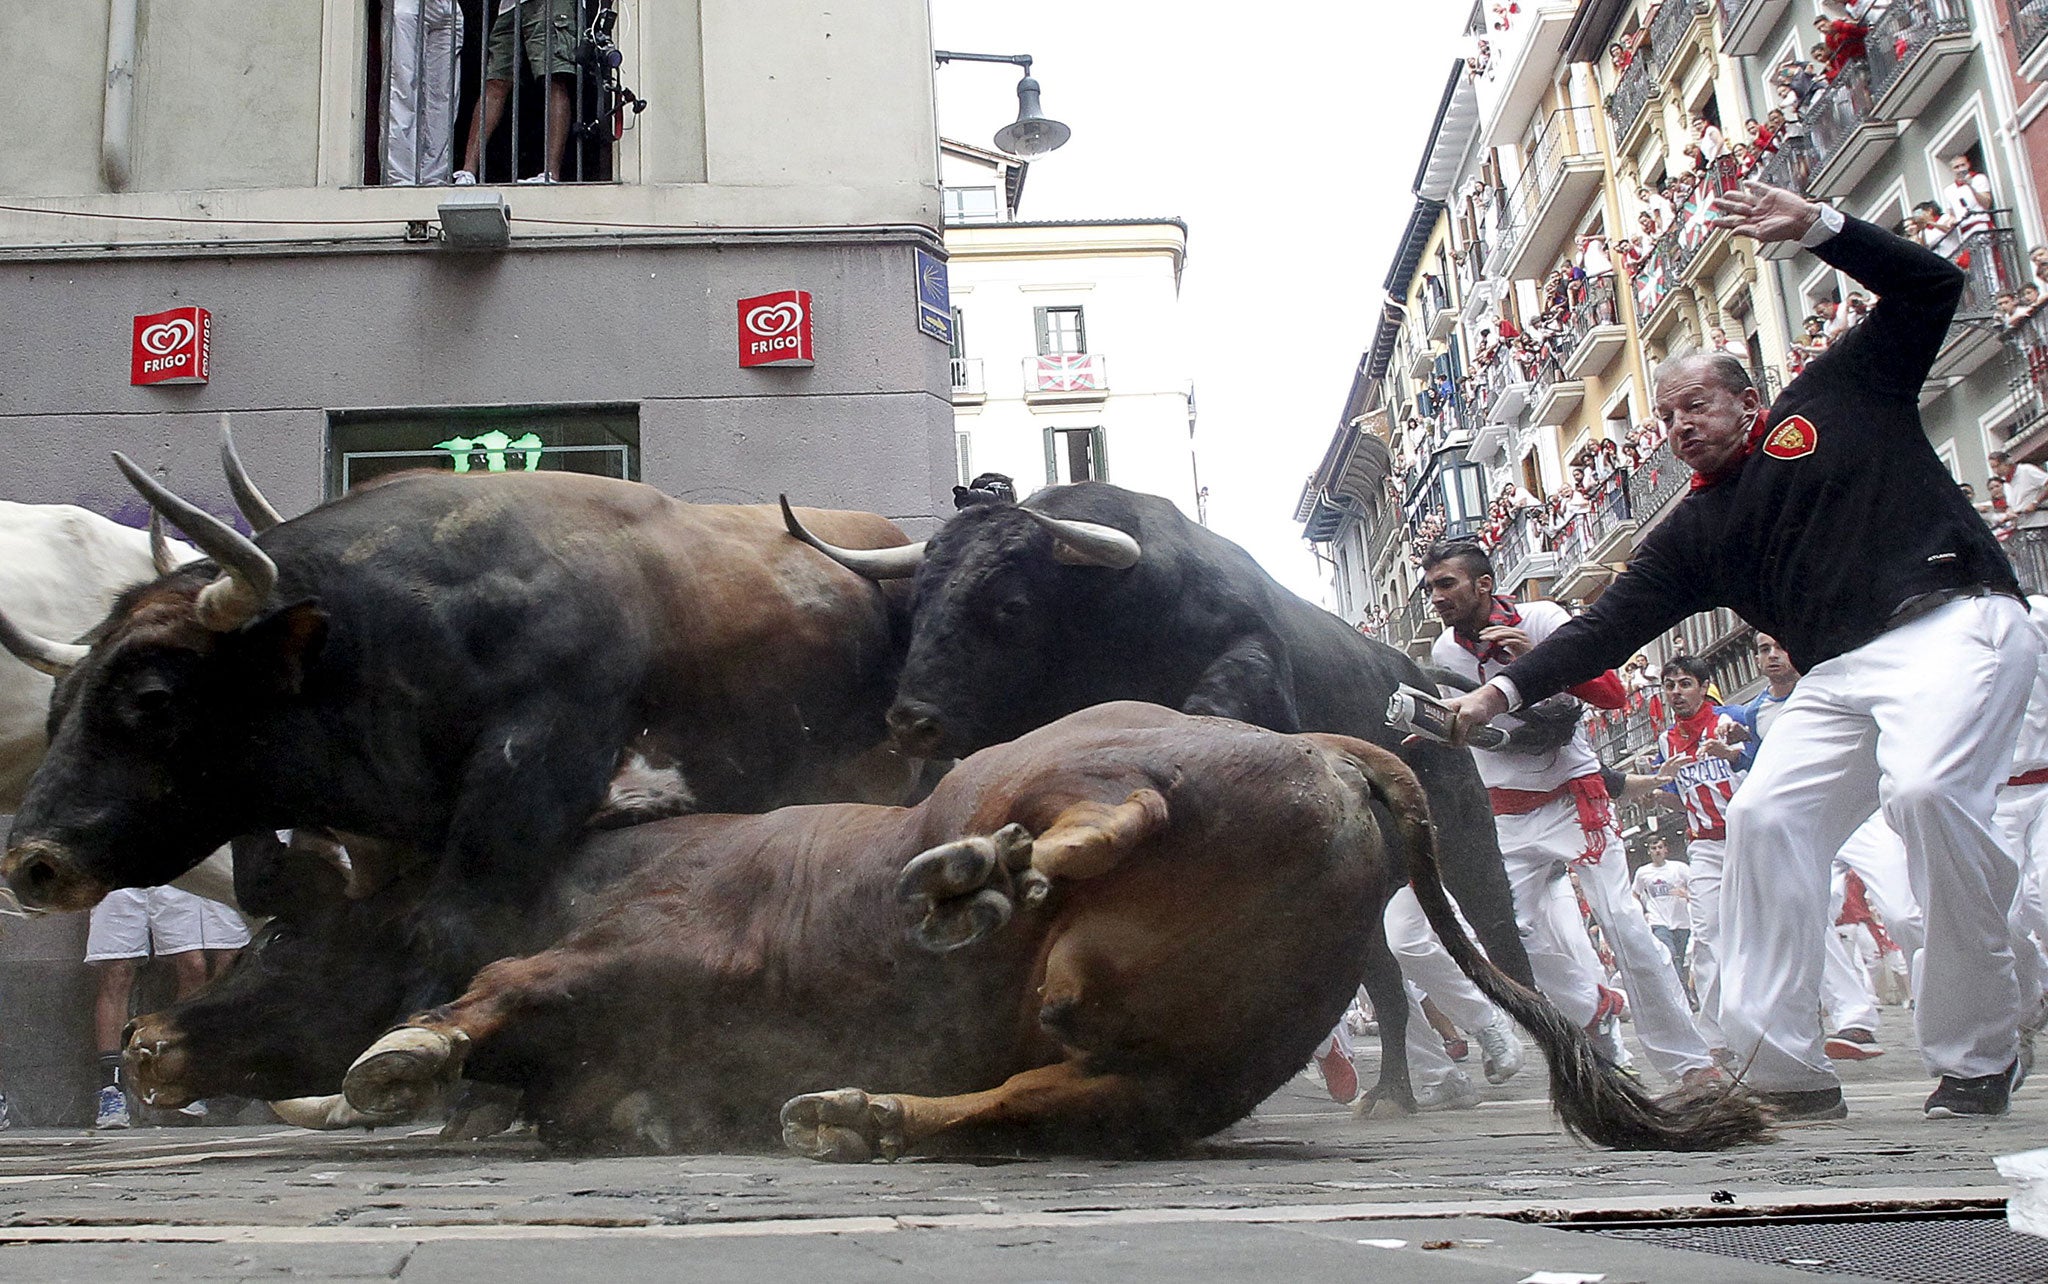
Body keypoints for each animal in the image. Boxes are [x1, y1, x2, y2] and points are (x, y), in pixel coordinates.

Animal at [790, 483, 1540, 1105]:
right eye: (918, 604)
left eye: (1010, 604)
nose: (911, 719)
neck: (1110, 629)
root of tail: (1423, 681)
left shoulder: (1248, 659)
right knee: (1384, 981)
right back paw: (1389, 1095)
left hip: (1466, 843)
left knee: (1499, 931)